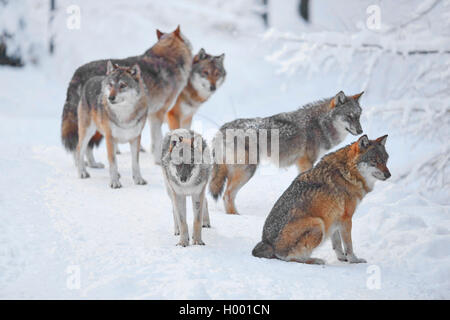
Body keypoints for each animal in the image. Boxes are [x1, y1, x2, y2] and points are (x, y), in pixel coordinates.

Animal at [75, 61, 148, 189]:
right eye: (111, 84)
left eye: (123, 85)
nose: (110, 98)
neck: (124, 115)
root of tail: (90, 80)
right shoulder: (110, 138)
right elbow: (113, 162)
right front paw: (114, 182)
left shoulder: (135, 138)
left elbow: (135, 163)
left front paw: (138, 179)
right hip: (88, 132)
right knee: (79, 149)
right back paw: (82, 172)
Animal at [209, 90, 364, 214]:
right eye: (349, 116)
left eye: (358, 116)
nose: (361, 131)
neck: (319, 125)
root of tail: (221, 129)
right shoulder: (306, 162)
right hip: (247, 171)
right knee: (227, 195)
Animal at [250, 134, 390, 264]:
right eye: (374, 161)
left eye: (385, 160)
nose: (389, 175)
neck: (348, 172)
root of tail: (266, 242)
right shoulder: (346, 219)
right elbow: (349, 246)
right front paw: (354, 260)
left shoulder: (334, 218)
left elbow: (337, 245)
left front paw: (342, 258)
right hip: (318, 224)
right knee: (289, 258)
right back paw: (315, 260)